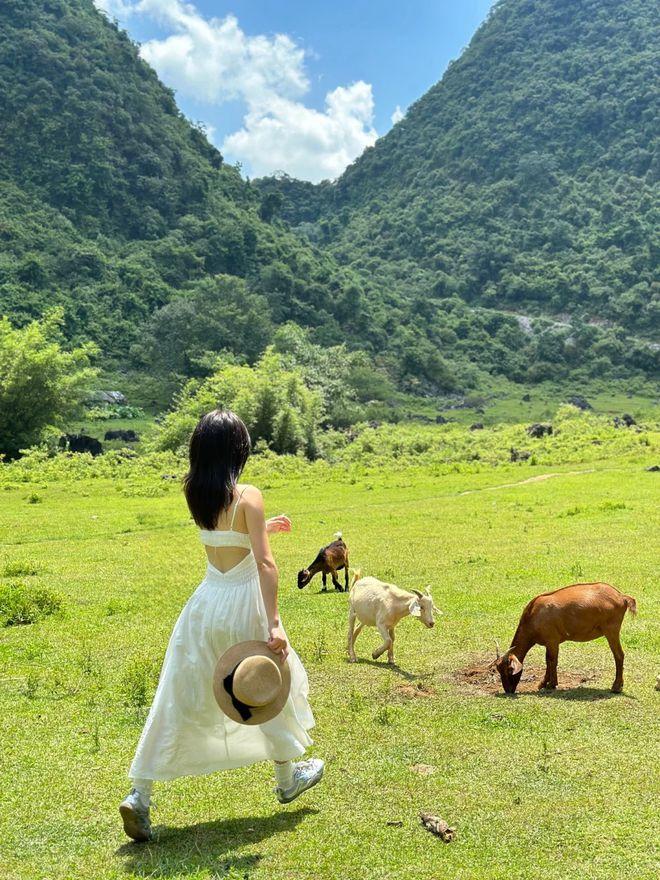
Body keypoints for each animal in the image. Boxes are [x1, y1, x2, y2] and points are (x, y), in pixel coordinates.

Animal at [496, 580, 636, 696]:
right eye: (498, 670)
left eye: (509, 669)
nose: (508, 690)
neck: (532, 615)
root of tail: (622, 597)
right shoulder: (549, 642)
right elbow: (548, 660)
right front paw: (544, 684)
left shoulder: (552, 640)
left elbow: (552, 660)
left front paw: (550, 684)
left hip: (611, 630)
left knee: (619, 655)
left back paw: (616, 687)